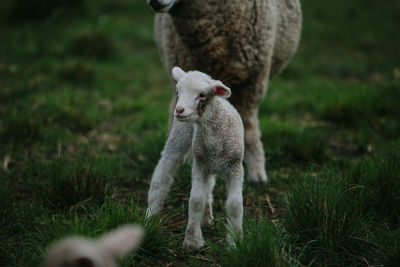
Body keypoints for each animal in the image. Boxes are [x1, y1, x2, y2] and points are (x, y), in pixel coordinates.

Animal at [149, 67, 244, 251]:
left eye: (202, 95)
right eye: (178, 91)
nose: (179, 110)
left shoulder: (234, 167)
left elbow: (235, 205)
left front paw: (235, 242)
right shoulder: (200, 167)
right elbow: (196, 201)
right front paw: (192, 241)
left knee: (209, 188)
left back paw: (207, 219)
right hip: (179, 138)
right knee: (161, 176)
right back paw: (150, 216)